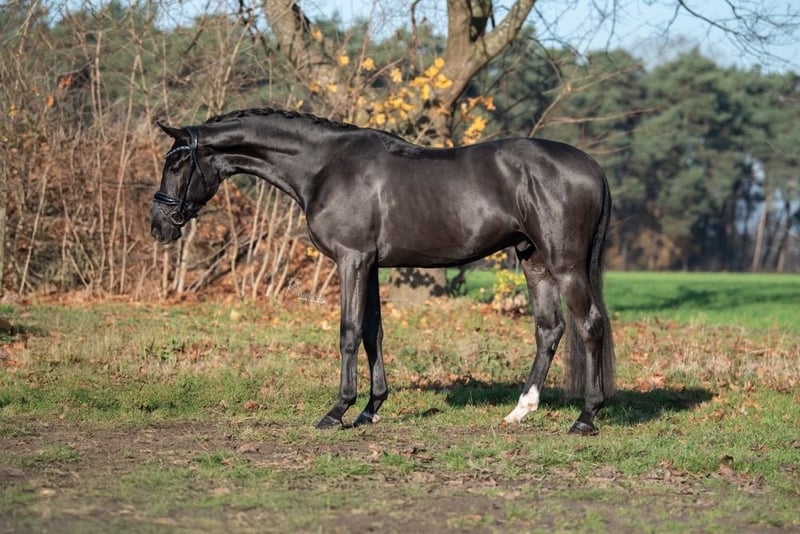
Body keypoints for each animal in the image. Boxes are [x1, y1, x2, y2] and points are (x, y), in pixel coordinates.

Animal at [150, 108, 615, 435]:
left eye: (175, 164)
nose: (159, 225)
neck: (325, 166)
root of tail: (593, 166)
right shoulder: (370, 264)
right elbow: (374, 332)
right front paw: (369, 410)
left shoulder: (351, 259)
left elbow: (349, 331)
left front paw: (337, 411)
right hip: (533, 260)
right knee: (549, 329)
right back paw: (521, 411)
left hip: (565, 265)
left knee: (589, 325)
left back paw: (585, 417)